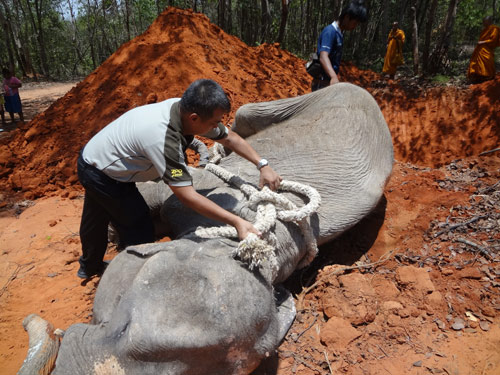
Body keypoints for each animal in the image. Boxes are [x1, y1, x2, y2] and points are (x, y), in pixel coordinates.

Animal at [19, 83, 394, 375]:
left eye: (184, 370)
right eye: (122, 321)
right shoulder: (200, 191)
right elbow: (166, 192)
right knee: (242, 117)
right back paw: (212, 151)